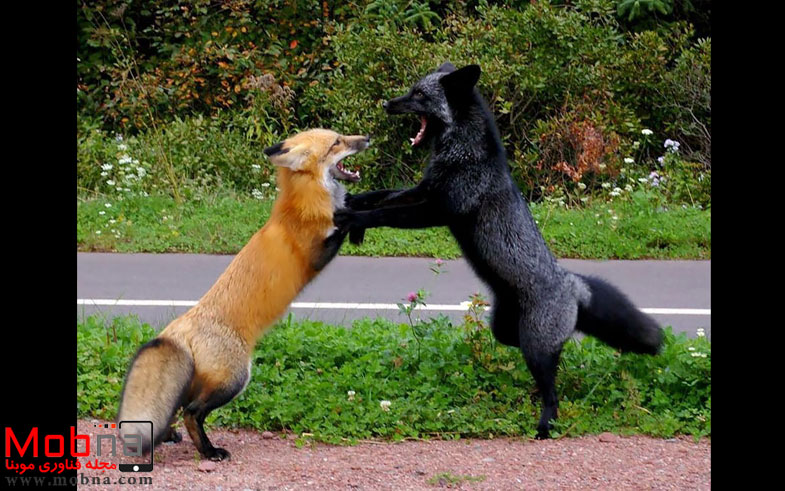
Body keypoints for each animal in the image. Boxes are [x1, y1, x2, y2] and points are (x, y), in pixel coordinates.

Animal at [118, 129, 369, 460]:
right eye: (337, 142)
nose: (367, 138)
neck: (303, 203)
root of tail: (178, 327)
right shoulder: (316, 254)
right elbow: (341, 224)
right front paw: (354, 216)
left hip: (202, 382)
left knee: (178, 409)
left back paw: (171, 436)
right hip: (235, 379)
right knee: (191, 413)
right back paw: (210, 451)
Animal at [336, 62, 664, 439]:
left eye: (419, 94)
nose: (387, 104)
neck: (461, 154)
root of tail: (569, 283)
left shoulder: (437, 209)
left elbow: (383, 214)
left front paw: (352, 219)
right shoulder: (424, 190)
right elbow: (381, 195)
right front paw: (352, 204)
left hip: (535, 347)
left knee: (553, 392)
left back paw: (544, 427)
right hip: (507, 330)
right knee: (537, 354)